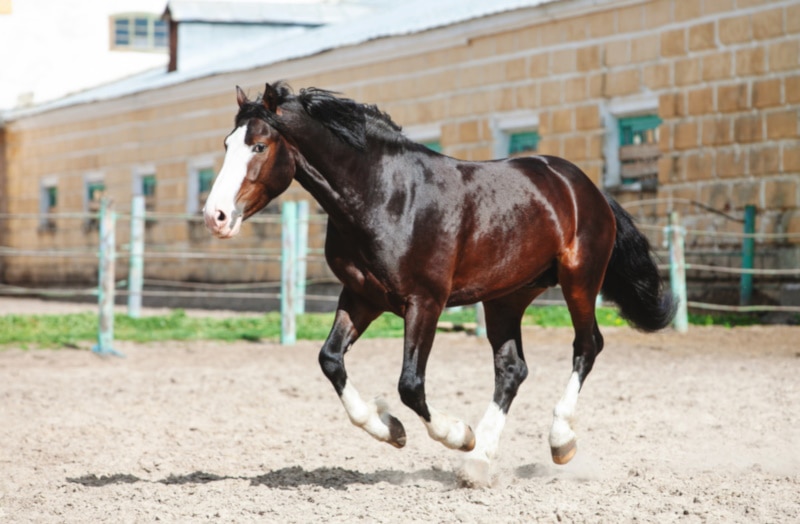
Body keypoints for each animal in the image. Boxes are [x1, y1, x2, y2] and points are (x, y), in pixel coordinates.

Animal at [205, 82, 676, 488]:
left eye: (259, 146)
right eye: (227, 144)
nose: (216, 216)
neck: (384, 196)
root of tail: (586, 187)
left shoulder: (425, 301)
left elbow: (410, 384)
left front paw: (458, 434)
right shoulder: (361, 297)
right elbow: (330, 360)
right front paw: (391, 429)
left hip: (579, 279)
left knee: (587, 346)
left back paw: (558, 443)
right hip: (507, 297)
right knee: (512, 369)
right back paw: (479, 464)